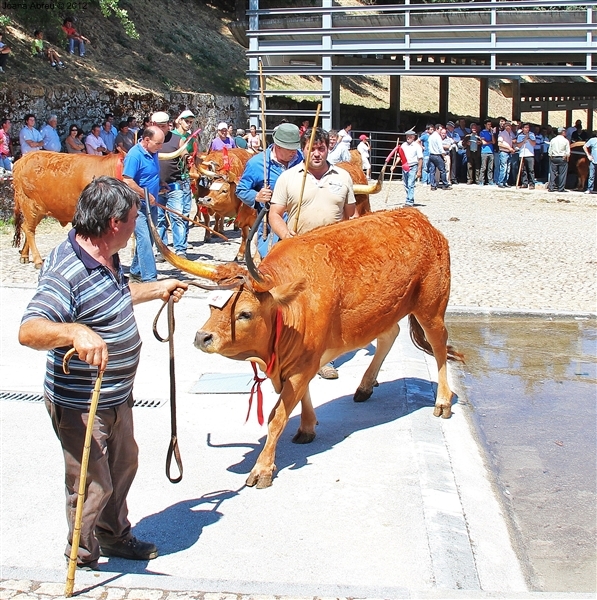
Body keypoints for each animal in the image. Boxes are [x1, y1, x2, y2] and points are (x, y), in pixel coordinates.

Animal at [149, 209, 460, 490]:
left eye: (245, 313)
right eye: (213, 307)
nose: (202, 337)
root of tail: (420, 220)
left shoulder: (302, 364)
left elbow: (277, 416)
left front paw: (262, 468)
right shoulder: (300, 360)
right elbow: (301, 397)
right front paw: (307, 427)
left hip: (431, 306)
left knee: (439, 344)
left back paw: (443, 401)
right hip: (385, 310)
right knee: (389, 335)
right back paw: (365, 386)